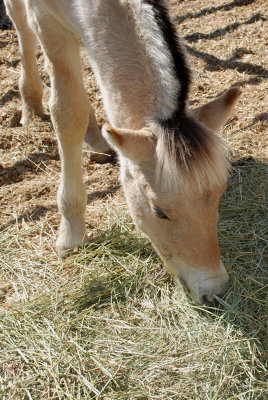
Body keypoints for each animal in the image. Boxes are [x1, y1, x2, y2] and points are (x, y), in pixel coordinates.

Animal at [4, 0, 242, 304]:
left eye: (220, 194)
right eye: (159, 212)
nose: (214, 290)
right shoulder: (46, 20)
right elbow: (67, 113)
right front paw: (71, 236)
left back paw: (96, 139)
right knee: (20, 25)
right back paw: (30, 106)